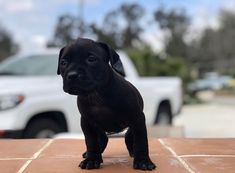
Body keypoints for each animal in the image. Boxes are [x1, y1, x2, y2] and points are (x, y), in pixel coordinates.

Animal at [57, 37, 156, 170]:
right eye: (63, 62)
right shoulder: (86, 122)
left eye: (91, 59)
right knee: (102, 139)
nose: (72, 75)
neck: (97, 94)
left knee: (129, 138)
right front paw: (92, 159)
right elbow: (91, 142)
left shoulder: (137, 119)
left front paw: (143, 161)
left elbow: (141, 141)